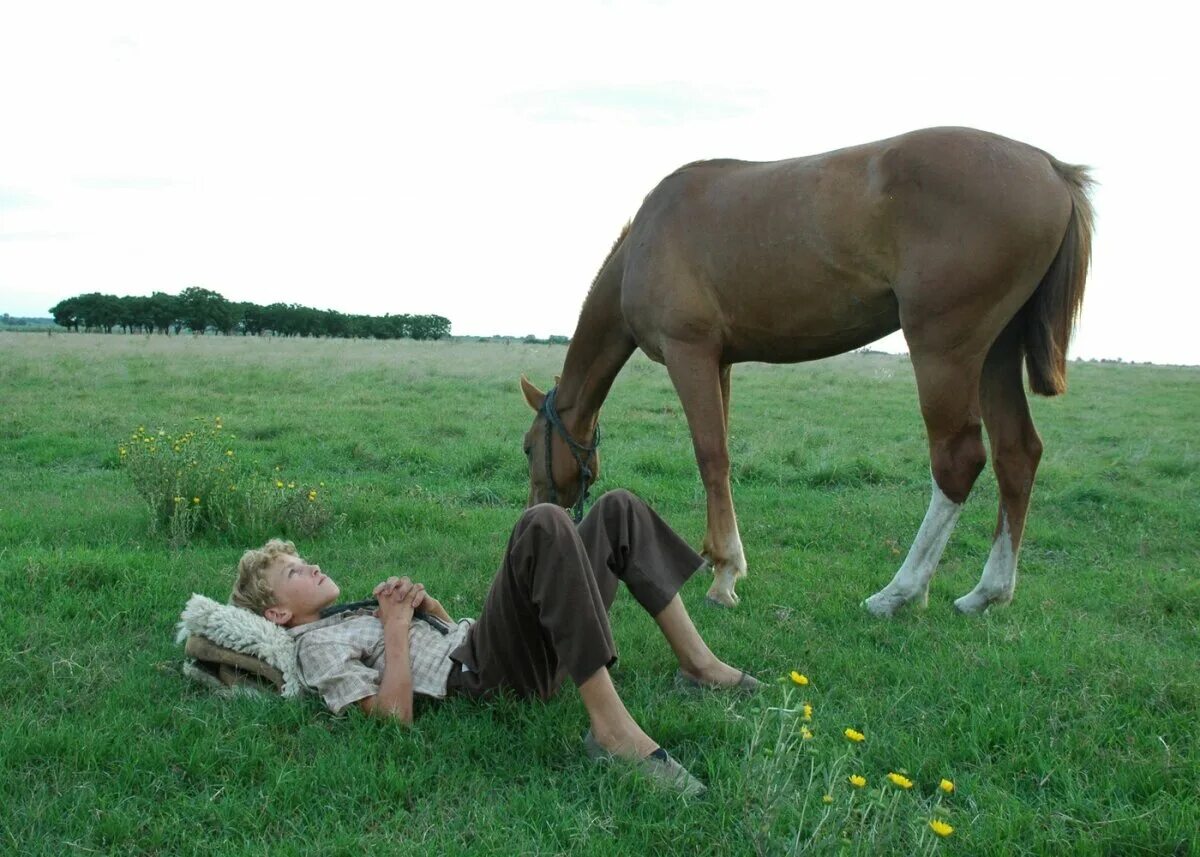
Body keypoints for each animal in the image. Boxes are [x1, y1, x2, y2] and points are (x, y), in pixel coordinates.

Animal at [520, 125, 1094, 607]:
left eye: (528, 448)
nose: (535, 513)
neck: (647, 237)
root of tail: (1048, 167)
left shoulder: (689, 354)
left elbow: (711, 456)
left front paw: (725, 575)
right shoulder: (719, 362)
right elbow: (719, 456)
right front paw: (716, 561)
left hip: (946, 350)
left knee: (958, 461)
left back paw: (900, 593)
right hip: (997, 352)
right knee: (1017, 454)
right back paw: (986, 594)